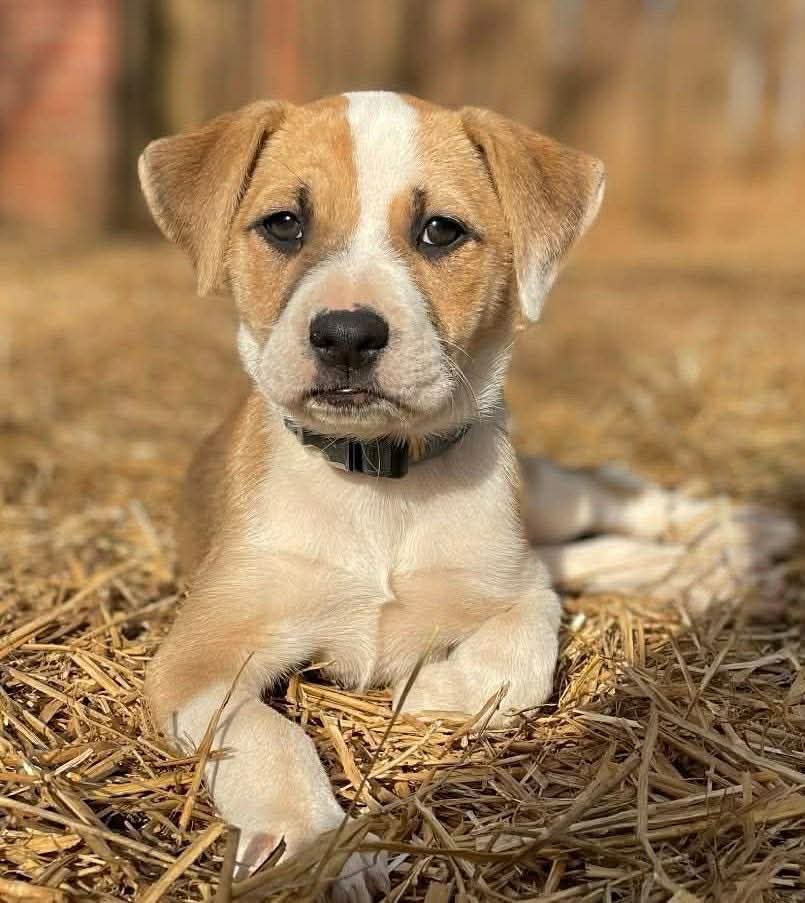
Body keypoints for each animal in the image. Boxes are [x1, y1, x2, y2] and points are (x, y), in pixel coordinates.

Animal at [139, 92, 797, 901]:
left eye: (440, 230)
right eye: (284, 223)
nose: (347, 335)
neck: (378, 482)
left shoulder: (515, 588)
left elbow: (518, 655)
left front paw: (417, 695)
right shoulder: (195, 659)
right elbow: (269, 738)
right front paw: (317, 848)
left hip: (543, 498)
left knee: (608, 490)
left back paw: (741, 533)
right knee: (587, 549)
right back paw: (713, 572)